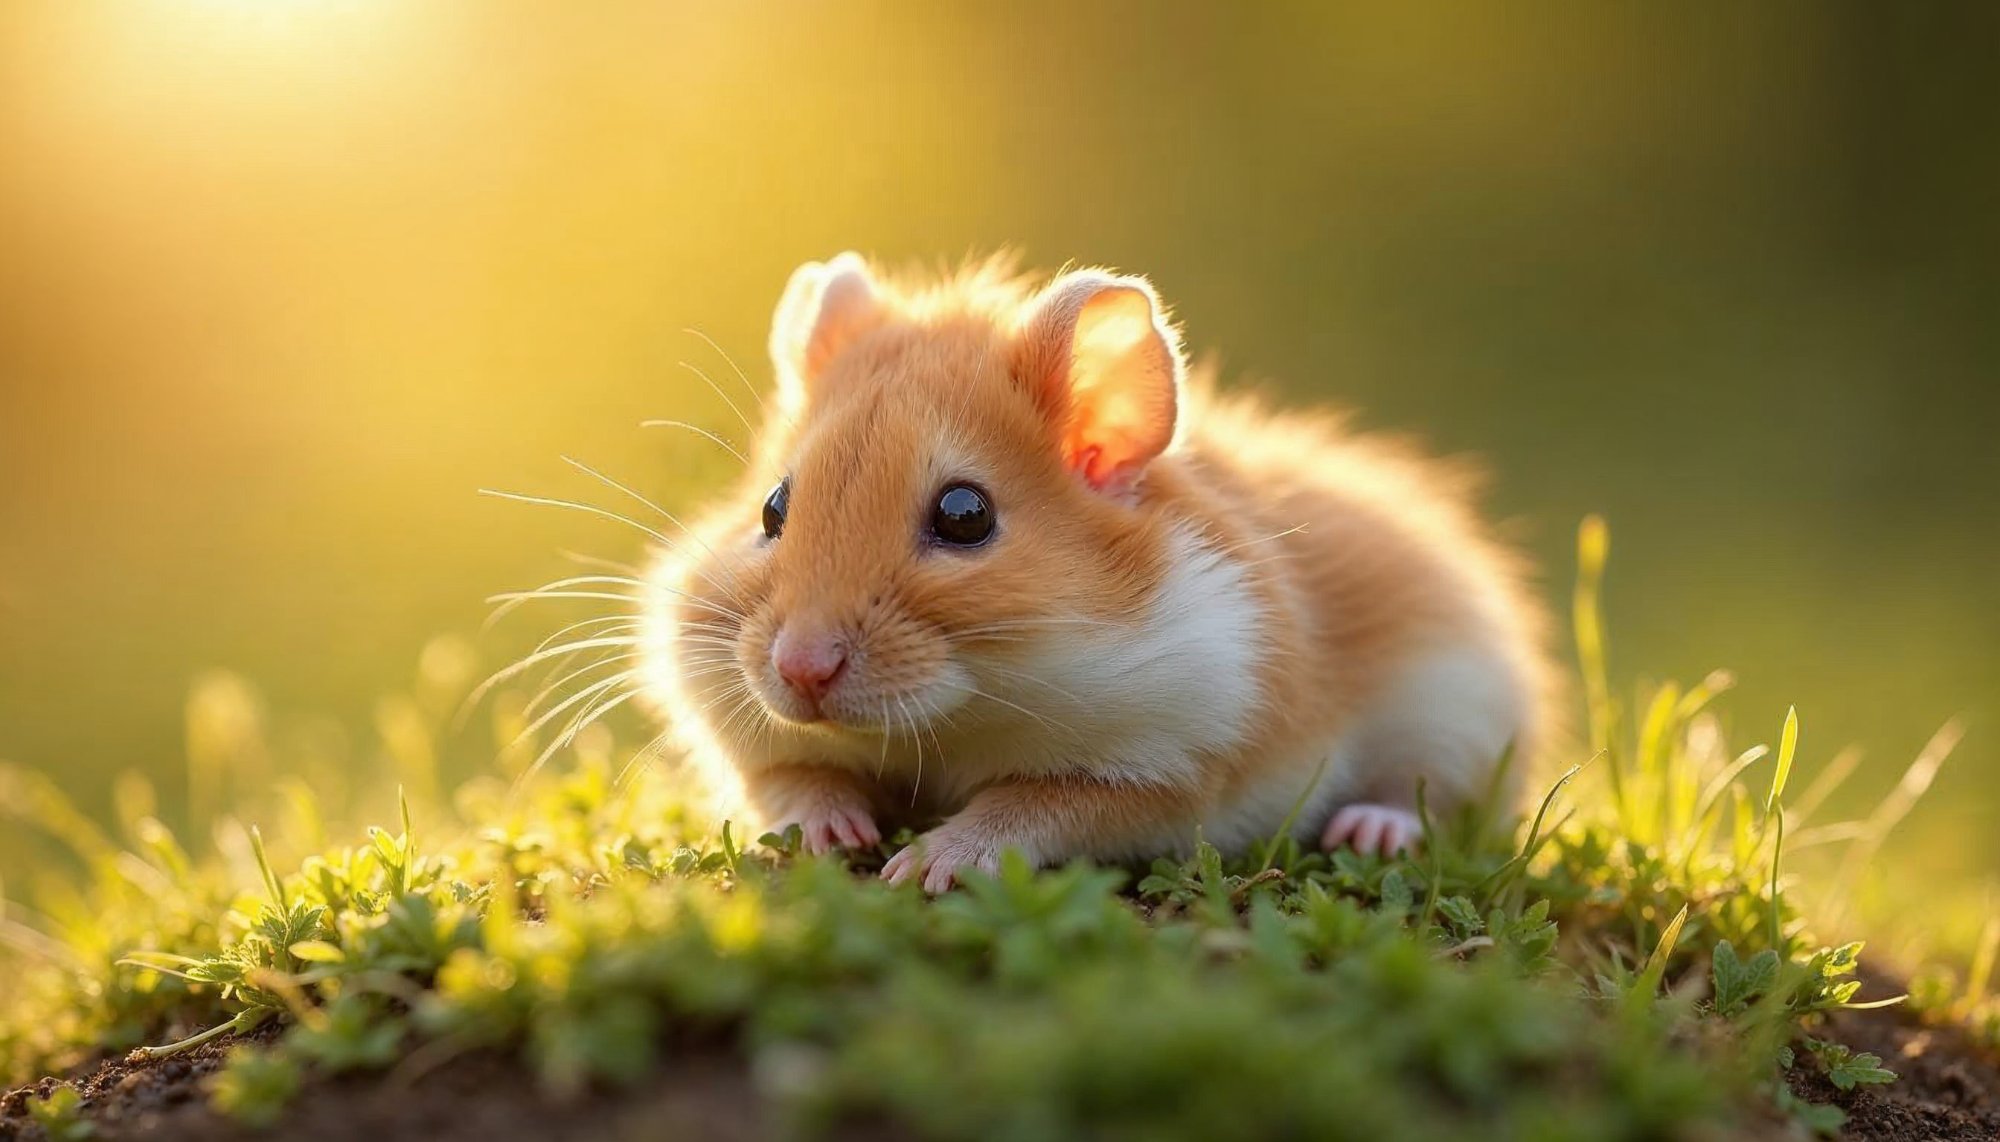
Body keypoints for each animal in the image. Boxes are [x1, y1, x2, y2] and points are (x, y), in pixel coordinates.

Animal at [640, 253, 1554, 892]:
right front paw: (846, 836)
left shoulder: (1169, 771)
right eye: (771, 509)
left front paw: (922, 865)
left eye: (965, 515)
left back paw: (1369, 828)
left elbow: (1031, 806)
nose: (799, 670)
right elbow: (792, 779)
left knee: (1427, 796)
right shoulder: (744, 731)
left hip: (1461, 712)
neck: (961, 713)